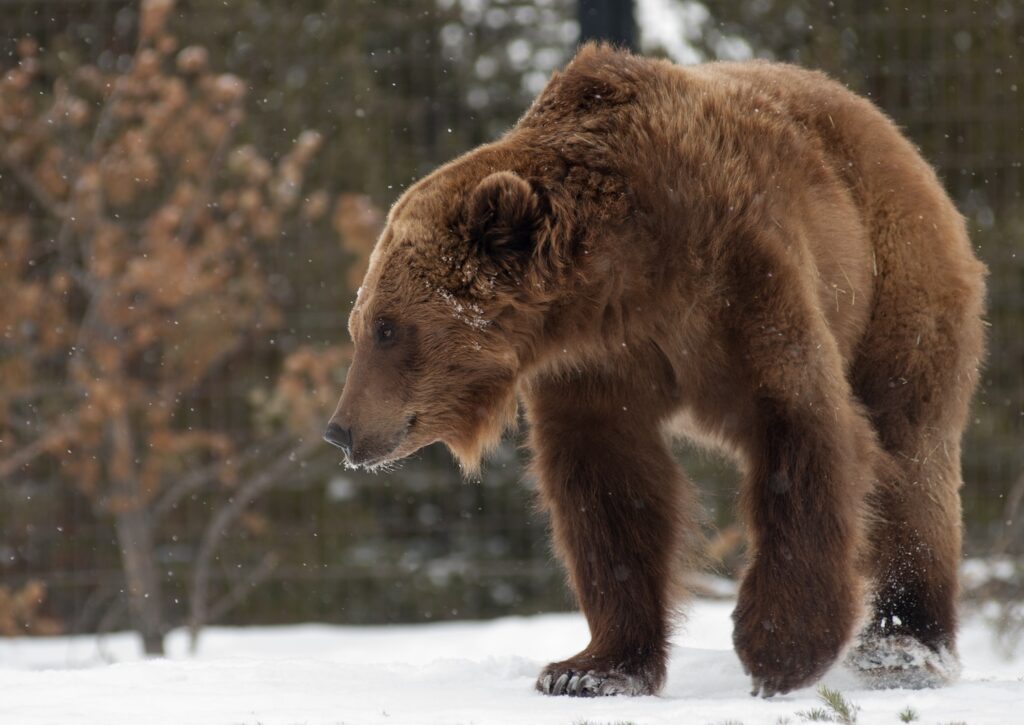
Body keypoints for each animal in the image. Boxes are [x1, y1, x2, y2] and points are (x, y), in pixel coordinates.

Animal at [323, 43, 986, 698]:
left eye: (387, 327)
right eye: (360, 326)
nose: (340, 429)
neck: (624, 277)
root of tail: (892, 132)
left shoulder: (738, 277)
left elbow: (802, 426)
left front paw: (779, 647)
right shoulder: (599, 363)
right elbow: (610, 486)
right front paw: (590, 670)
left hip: (895, 277)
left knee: (911, 448)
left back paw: (904, 646)